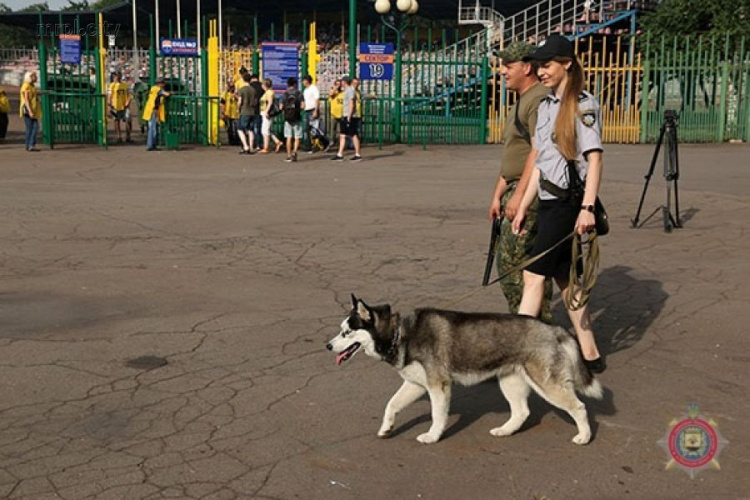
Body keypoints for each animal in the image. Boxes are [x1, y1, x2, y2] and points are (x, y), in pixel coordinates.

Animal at [328, 294, 604, 444]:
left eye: (347, 332)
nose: (328, 345)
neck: (400, 334)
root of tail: (553, 329)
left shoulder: (438, 386)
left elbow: (437, 416)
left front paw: (432, 436)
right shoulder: (416, 385)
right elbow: (391, 405)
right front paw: (386, 429)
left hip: (547, 385)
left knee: (579, 407)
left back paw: (584, 436)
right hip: (510, 382)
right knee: (522, 412)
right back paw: (505, 431)